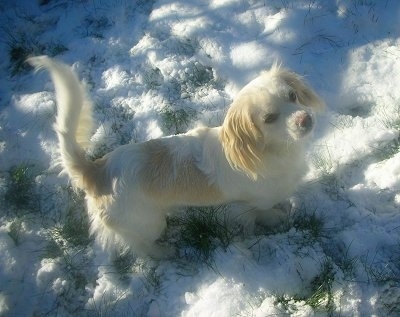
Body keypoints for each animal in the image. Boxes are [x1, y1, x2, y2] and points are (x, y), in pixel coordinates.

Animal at [28, 55, 324, 256]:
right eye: (270, 118)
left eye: (293, 96)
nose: (305, 119)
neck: (277, 151)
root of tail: (96, 171)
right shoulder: (243, 207)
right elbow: (259, 215)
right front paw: (275, 219)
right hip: (148, 222)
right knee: (141, 248)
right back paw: (164, 253)